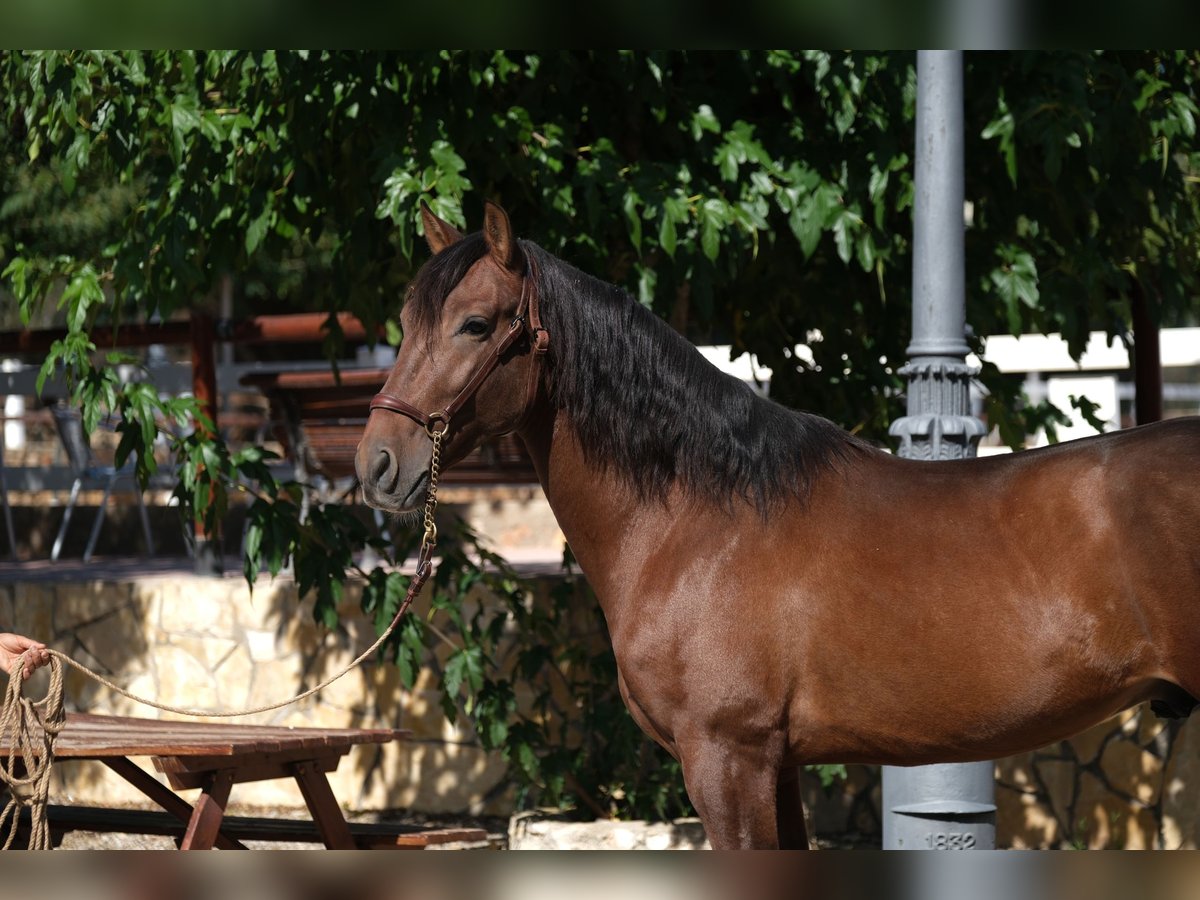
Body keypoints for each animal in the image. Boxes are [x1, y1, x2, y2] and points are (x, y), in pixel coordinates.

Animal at [355, 200, 1200, 849]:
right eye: (404, 320)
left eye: (474, 324)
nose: (378, 464)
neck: (697, 521)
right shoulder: (779, 764)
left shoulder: (728, 760)